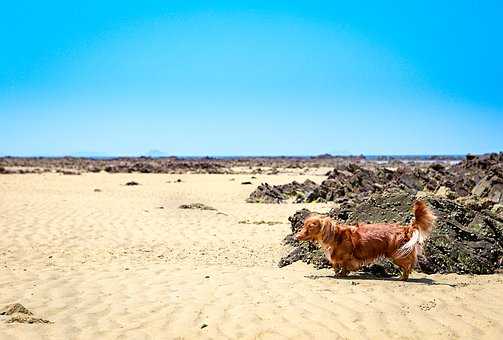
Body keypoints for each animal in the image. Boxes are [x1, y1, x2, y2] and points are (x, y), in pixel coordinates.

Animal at [298, 201, 436, 280]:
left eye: (310, 227)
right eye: (303, 226)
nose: (296, 237)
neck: (336, 236)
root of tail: (406, 228)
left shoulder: (347, 256)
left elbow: (344, 266)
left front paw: (342, 274)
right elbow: (336, 265)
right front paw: (338, 273)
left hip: (397, 255)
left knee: (408, 265)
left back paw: (403, 277)